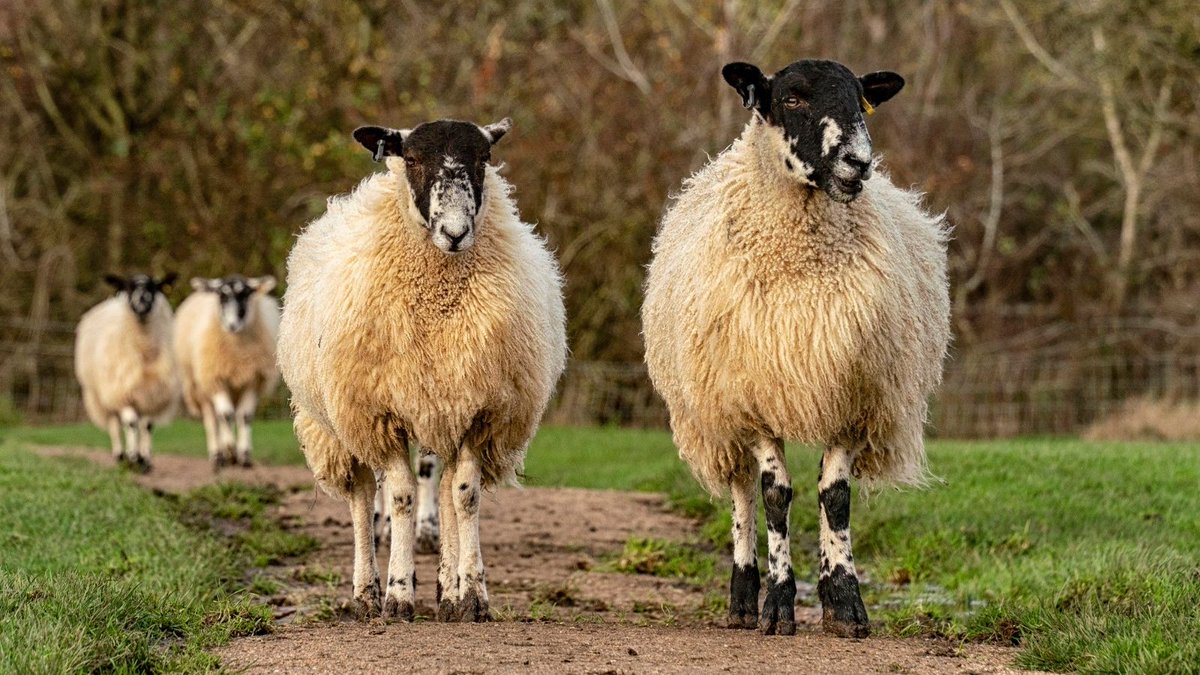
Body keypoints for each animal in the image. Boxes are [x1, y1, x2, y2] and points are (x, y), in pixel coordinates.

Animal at [74, 273, 180, 473]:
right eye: (130, 287)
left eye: (153, 287)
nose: (142, 302)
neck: (144, 351)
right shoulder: (122, 392)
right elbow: (130, 424)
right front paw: (132, 458)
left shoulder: (152, 393)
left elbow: (147, 426)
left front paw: (144, 460)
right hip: (105, 394)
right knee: (115, 424)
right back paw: (120, 455)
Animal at [173, 275, 280, 471]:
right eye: (221, 296)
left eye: (245, 294)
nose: (232, 325)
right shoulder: (216, 378)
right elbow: (225, 414)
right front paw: (230, 450)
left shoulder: (253, 380)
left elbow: (245, 416)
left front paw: (244, 456)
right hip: (202, 387)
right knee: (213, 419)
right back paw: (218, 456)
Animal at [277, 116, 567, 623]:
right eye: (411, 159)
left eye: (483, 158)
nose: (455, 232)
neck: (437, 297)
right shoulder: (381, 413)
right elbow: (400, 496)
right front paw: (398, 594)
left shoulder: (477, 410)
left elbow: (464, 494)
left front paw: (470, 594)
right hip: (339, 420)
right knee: (361, 496)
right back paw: (366, 591)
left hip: (441, 405)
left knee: (446, 487)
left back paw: (446, 587)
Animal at [642, 59, 951, 639]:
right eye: (792, 99)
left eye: (859, 100)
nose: (859, 161)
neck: (801, 262)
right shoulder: (755, 395)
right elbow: (776, 496)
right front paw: (778, 605)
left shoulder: (850, 389)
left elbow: (835, 497)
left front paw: (845, 604)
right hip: (721, 409)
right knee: (742, 492)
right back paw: (743, 599)